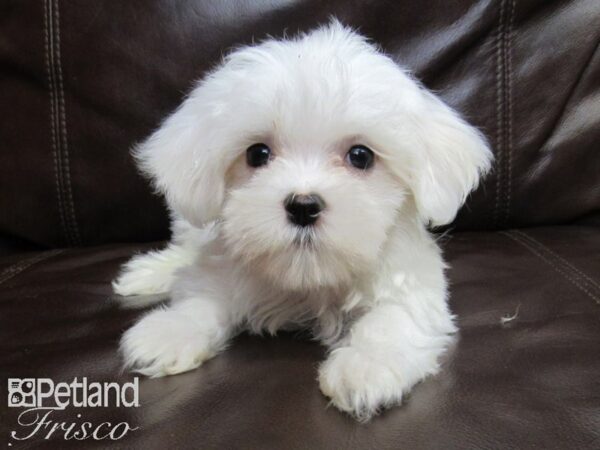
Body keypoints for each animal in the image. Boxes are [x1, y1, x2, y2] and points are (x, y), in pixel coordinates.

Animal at [112, 20, 492, 422]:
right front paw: (170, 330)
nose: (303, 206)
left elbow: (394, 318)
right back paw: (147, 274)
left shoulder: (410, 283)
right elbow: (204, 294)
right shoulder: (226, 264)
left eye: (361, 156)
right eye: (257, 154)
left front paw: (366, 366)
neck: (310, 276)